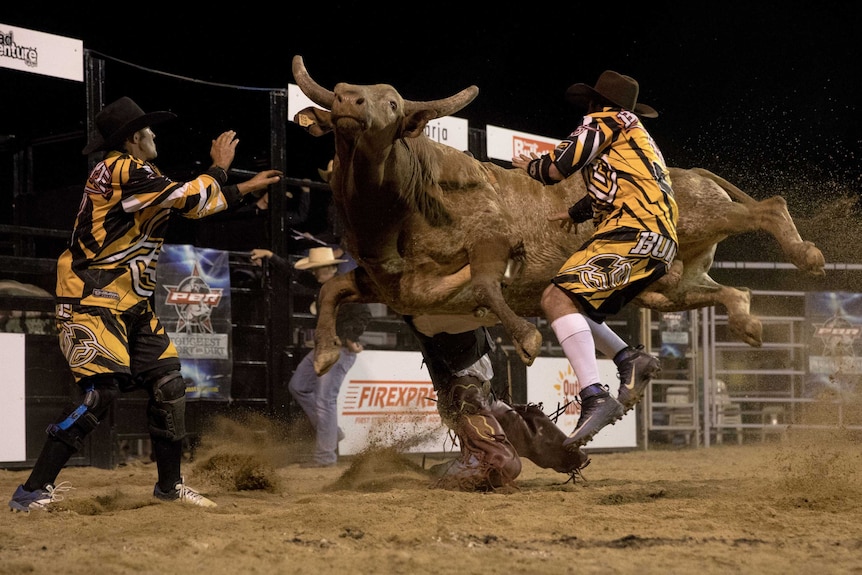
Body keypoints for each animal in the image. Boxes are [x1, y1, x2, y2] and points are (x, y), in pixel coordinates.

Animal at [288, 56, 824, 490]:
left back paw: (808, 255)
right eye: (341, 91)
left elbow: (485, 282)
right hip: (666, 286)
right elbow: (333, 287)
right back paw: (740, 326)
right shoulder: (391, 286)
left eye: (394, 102)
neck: (403, 208)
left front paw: (526, 338)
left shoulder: (492, 241)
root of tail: (690, 173)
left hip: (691, 225)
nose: (350, 101)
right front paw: (324, 354)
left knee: (769, 207)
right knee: (731, 291)